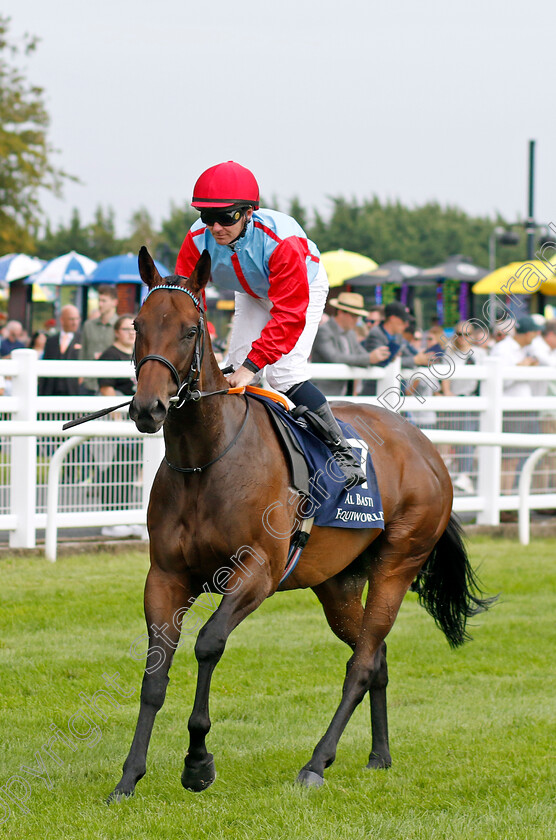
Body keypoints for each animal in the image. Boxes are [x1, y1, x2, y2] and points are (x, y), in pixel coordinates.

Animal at [107, 248, 490, 800]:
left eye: (188, 329)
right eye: (137, 324)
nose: (147, 408)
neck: (206, 459)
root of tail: (425, 447)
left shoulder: (256, 573)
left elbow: (207, 644)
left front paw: (198, 762)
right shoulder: (166, 577)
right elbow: (155, 675)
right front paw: (129, 777)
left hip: (398, 563)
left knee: (361, 664)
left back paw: (316, 763)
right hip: (336, 584)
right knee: (376, 655)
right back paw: (379, 754)